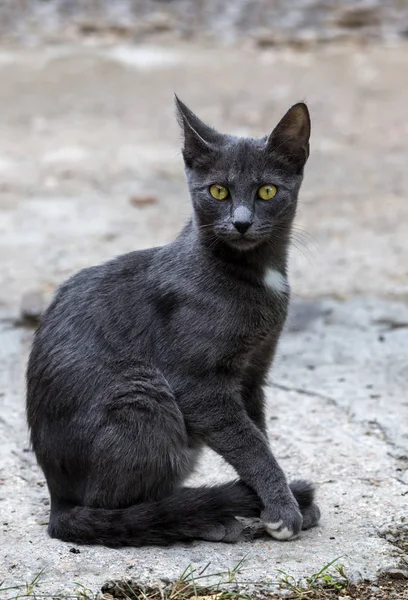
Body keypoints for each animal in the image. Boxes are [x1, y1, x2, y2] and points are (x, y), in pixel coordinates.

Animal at [25, 96, 320, 548]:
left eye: (267, 190)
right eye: (218, 190)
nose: (241, 222)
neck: (256, 273)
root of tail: (58, 501)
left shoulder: (253, 374)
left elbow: (258, 432)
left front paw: (278, 499)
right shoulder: (198, 385)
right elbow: (249, 442)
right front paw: (283, 508)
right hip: (141, 394)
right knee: (115, 505)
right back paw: (208, 518)